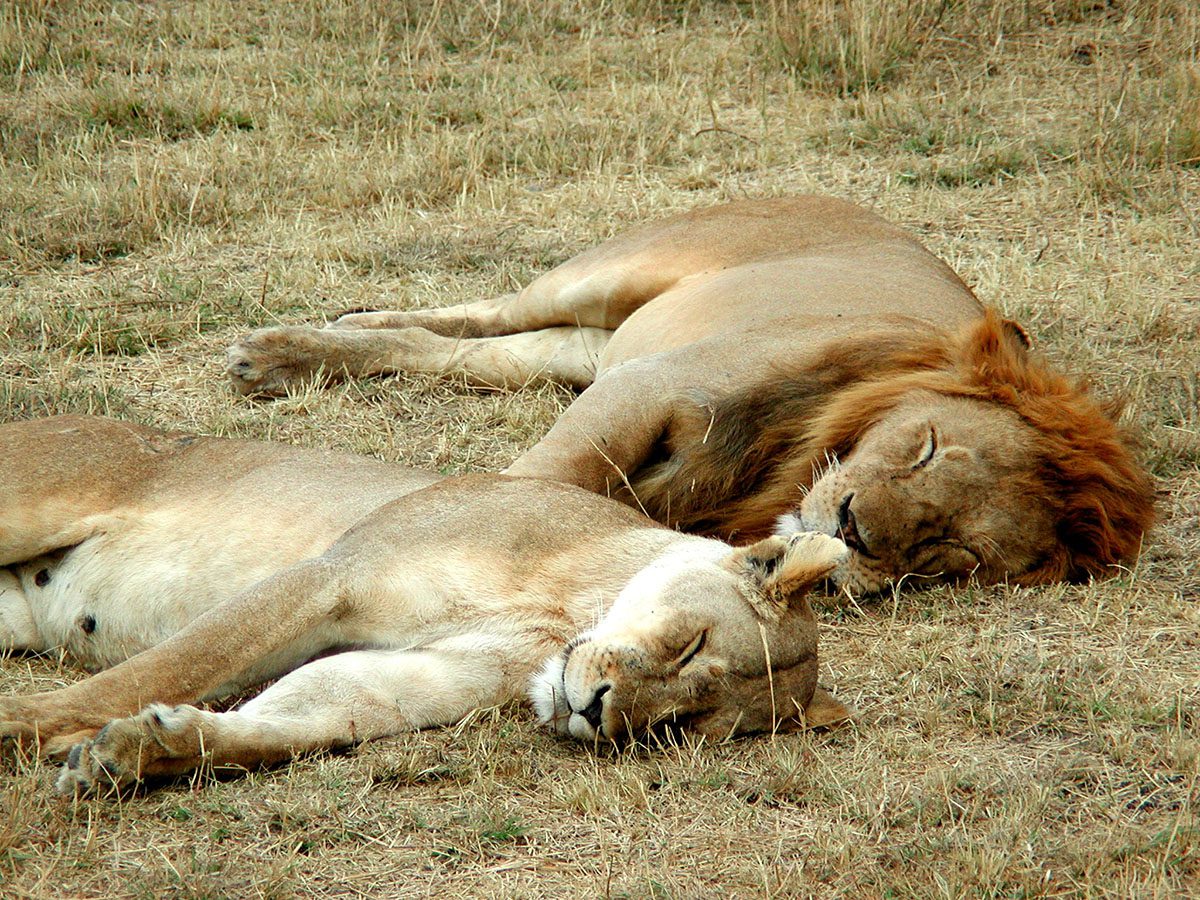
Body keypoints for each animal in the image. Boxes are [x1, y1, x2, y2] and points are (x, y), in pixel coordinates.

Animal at [0, 417, 854, 796]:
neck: (561, 612)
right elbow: (171, 665)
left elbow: (303, 716)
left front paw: (137, 752)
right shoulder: (331, 575)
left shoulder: (422, 674)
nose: (597, 712)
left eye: (675, 727)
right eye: (690, 642)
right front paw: (27, 727)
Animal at [225, 194, 1152, 595]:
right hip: (609, 276)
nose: (854, 530)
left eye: (952, 553)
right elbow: (541, 480)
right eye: (925, 447)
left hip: (584, 347)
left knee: (465, 351)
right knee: (479, 311)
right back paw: (284, 348)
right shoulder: (651, 387)